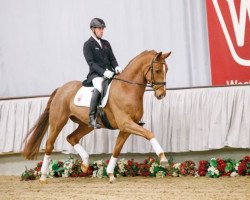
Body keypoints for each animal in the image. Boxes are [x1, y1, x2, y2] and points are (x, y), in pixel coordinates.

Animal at [23, 50, 172, 183]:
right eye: (157, 70)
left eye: (167, 70)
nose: (161, 95)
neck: (127, 88)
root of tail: (61, 89)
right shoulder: (125, 123)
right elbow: (149, 133)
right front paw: (163, 158)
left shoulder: (126, 128)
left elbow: (117, 149)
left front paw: (110, 174)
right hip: (58, 121)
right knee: (49, 144)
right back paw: (43, 176)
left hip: (86, 124)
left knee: (72, 138)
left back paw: (84, 164)